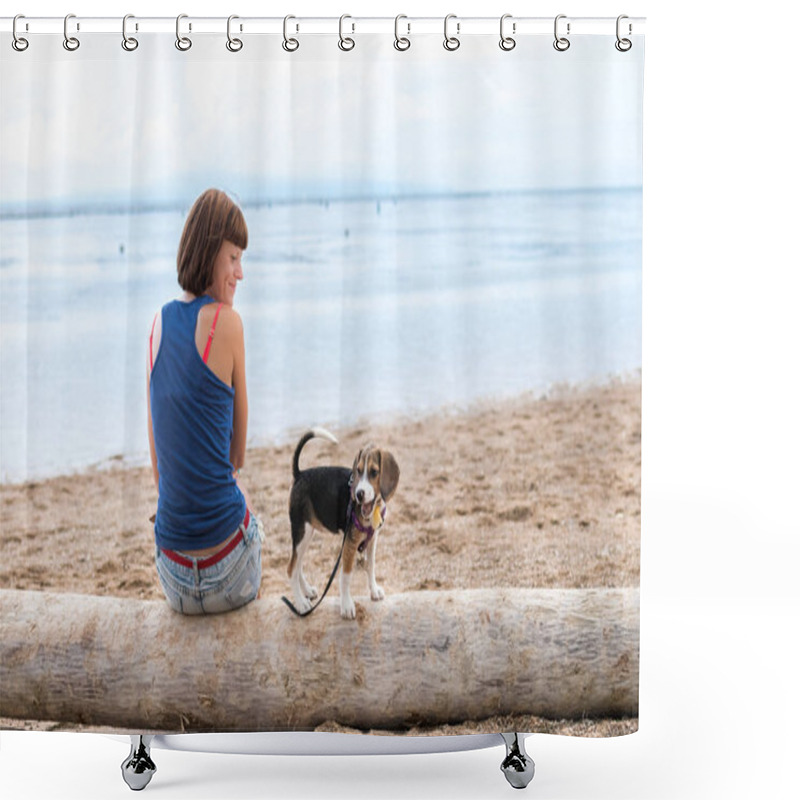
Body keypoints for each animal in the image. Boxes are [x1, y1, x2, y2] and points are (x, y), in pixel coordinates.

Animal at [288, 432, 400, 620]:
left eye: (374, 472)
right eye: (359, 471)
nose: (359, 494)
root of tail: (300, 474)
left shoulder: (373, 540)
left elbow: (371, 566)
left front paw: (374, 590)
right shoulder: (349, 544)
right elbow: (346, 577)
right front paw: (347, 605)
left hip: (306, 534)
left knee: (298, 565)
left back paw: (307, 591)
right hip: (302, 532)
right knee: (291, 569)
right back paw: (301, 603)